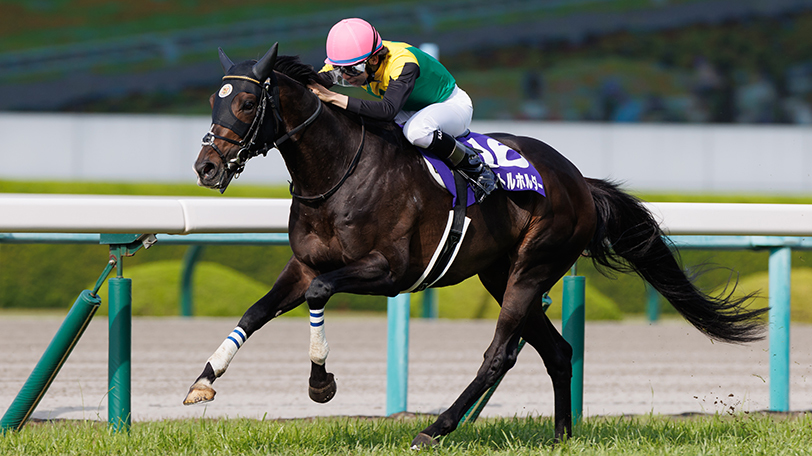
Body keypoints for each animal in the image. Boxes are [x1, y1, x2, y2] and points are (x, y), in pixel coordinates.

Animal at [188, 43, 766, 447]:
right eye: (213, 99)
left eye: (247, 101)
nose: (207, 167)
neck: (337, 172)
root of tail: (580, 181)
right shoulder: (305, 264)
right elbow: (256, 310)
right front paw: (204, 379)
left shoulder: (388, 272)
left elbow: (319, 295)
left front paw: (320, 384)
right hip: (499, 272)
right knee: (558, 350)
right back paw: (560, 437)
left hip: (535, 265)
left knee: (499, 353)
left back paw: (436, 428)